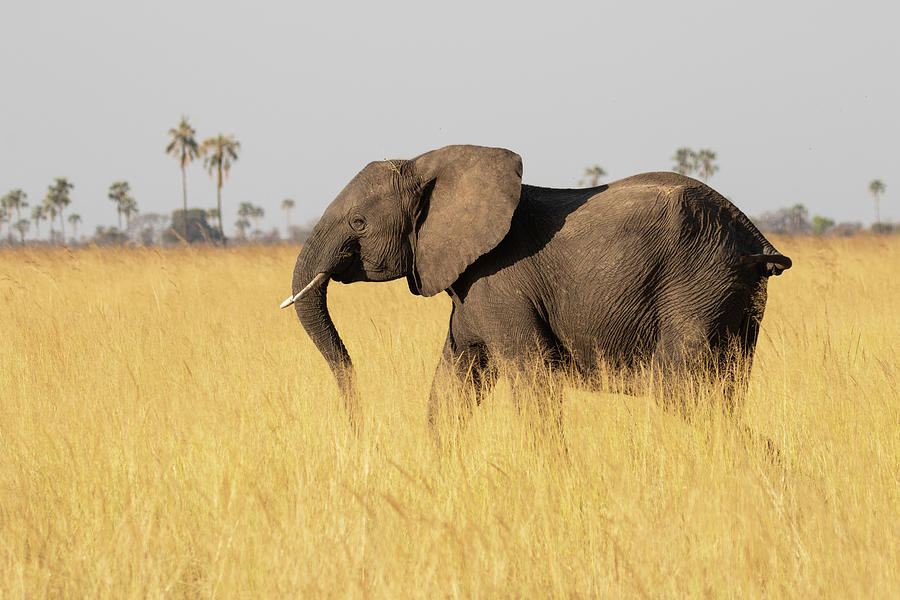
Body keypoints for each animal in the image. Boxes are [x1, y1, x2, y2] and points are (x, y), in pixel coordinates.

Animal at [280, 144, 788, 428]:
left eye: (358, 223)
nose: (356, 423)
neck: (428, 165)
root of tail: (753, 236)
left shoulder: (502, 283)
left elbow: (532, 379)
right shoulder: (471, 292)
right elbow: (452, 386)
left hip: (698, 285)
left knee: (682, 393)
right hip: (728, 298)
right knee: (723, 395)